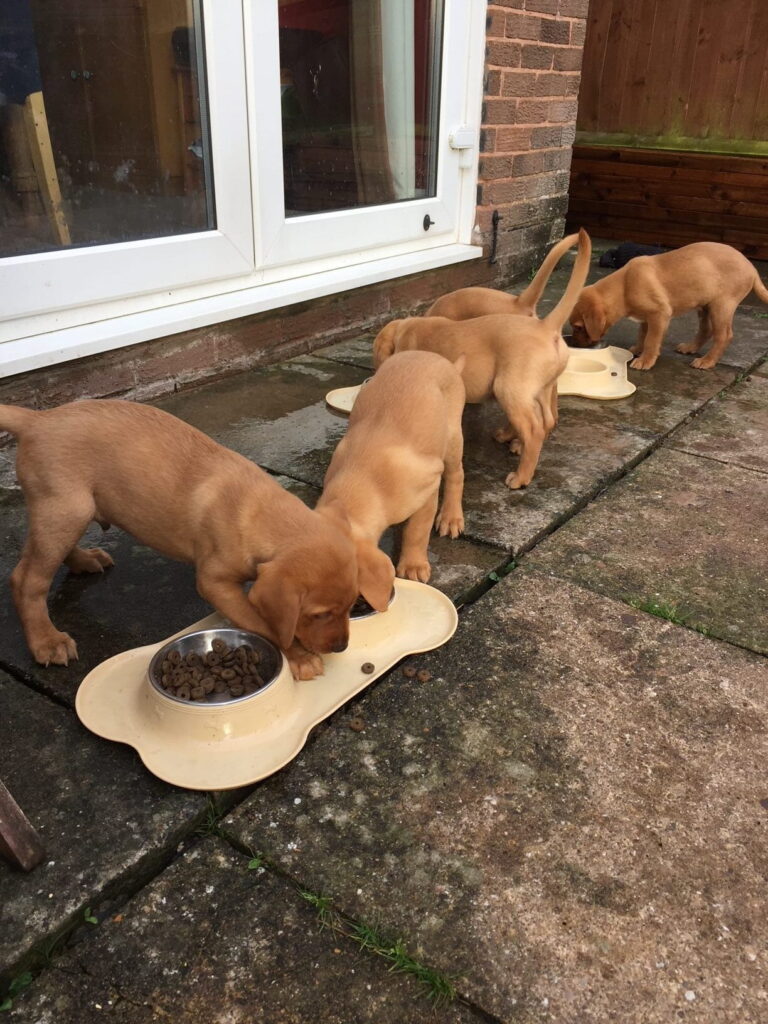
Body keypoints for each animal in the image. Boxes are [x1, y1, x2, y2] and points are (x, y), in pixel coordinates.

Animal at [0, 399, 393, 679]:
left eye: (352, 604)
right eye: (319, 614)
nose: (341, 647)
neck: (258, 510)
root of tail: (37, 419)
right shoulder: (215, 583)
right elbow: (262, 621)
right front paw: (298, 655)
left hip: (71, 512)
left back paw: (84, 560)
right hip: (64, 508)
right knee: (26, 579)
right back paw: (46, 640)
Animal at [319, 350, 468, 585]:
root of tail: (445, 361)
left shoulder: (429, 484)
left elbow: (417, 530)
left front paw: (413, 565)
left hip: (452, 437)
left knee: (456, 475)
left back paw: (451, 517)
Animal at [573, 239, 768, 368]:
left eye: (579, 327)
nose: (576, 345)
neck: (624, 286)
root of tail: (752, 268)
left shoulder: (660, 314)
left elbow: (651, 340)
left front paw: (645, 360)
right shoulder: (647, 317)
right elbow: (642, 335)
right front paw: (638, 349)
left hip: (722, 306)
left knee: (724, 335)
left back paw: (707, 361)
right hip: (705, 306)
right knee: (706, 330)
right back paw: (690, 347)